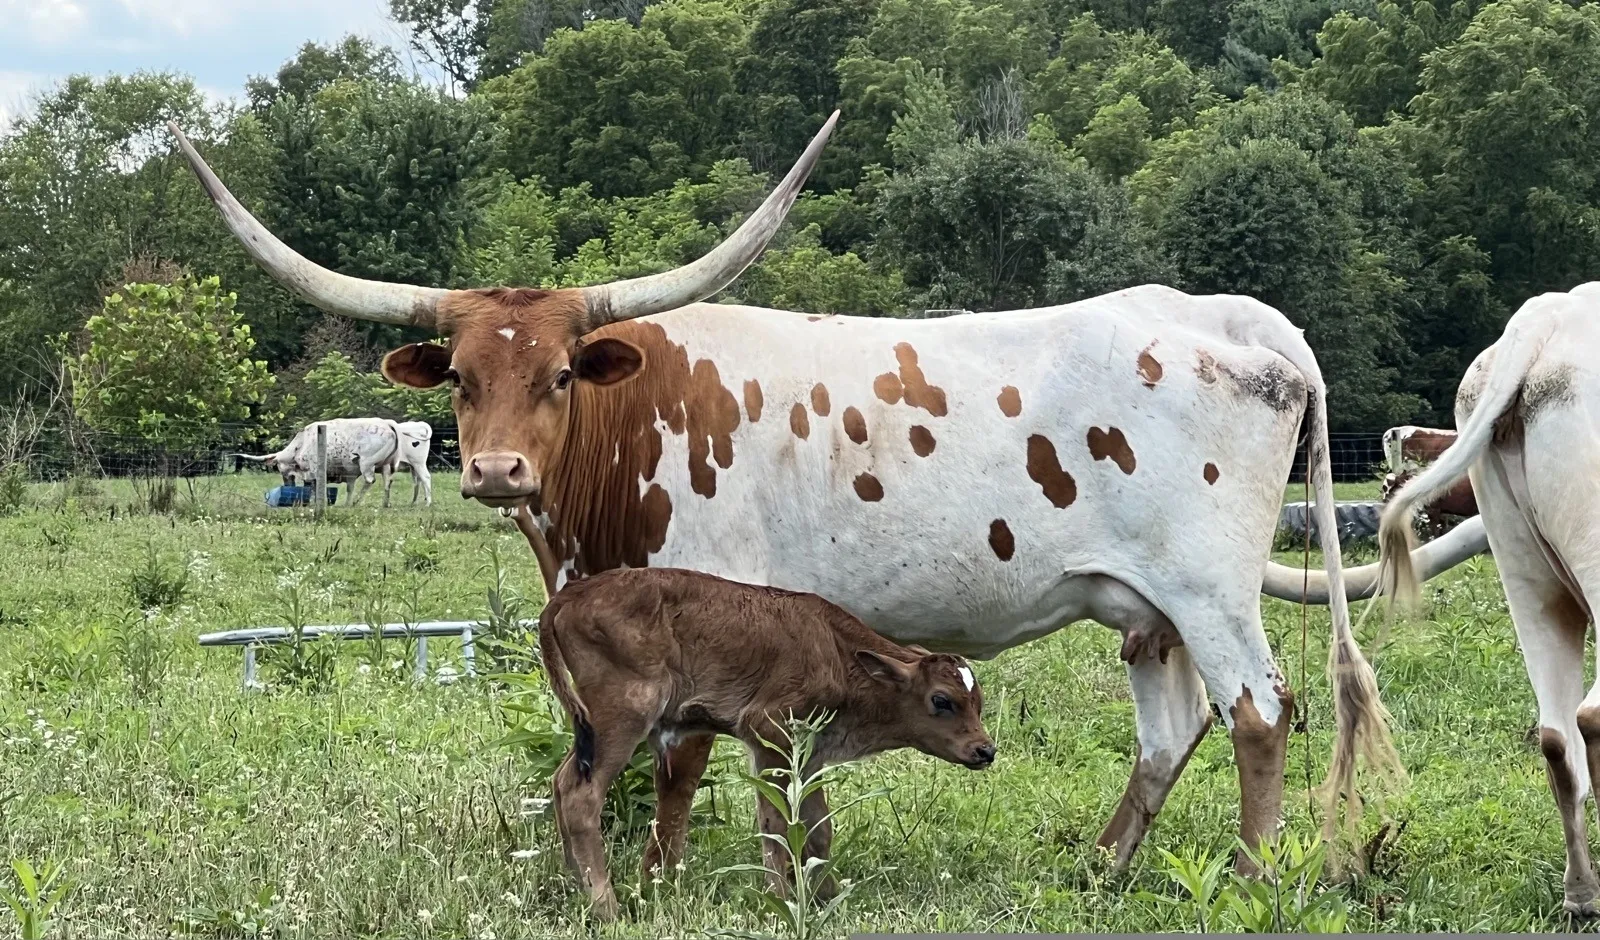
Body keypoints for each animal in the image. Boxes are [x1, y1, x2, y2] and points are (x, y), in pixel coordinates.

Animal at [172, 114, 1401, 871]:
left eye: (561, 373)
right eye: (463, 379)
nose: (494, 470)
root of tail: (1232, 317)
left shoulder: (700, 607)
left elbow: (679, 756)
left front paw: (660, 877)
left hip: (1211, 589)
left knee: (1260, 713)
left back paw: (1252, 873)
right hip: (1146, 608)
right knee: (1171, 729)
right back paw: (1102, 870)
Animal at [540, 566, 994, 919]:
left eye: (978, 702)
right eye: (942, 700)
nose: (984, 750)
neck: (836, 651)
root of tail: (572, 594)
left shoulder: (809, 754)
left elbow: (818, 826)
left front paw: (826, 895)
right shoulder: (768, 733)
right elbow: (776, 823)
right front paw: (782, 900)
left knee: (560, 783)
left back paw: (574, 884)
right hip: (623, 717)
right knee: (580, 793)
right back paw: (606, 906)